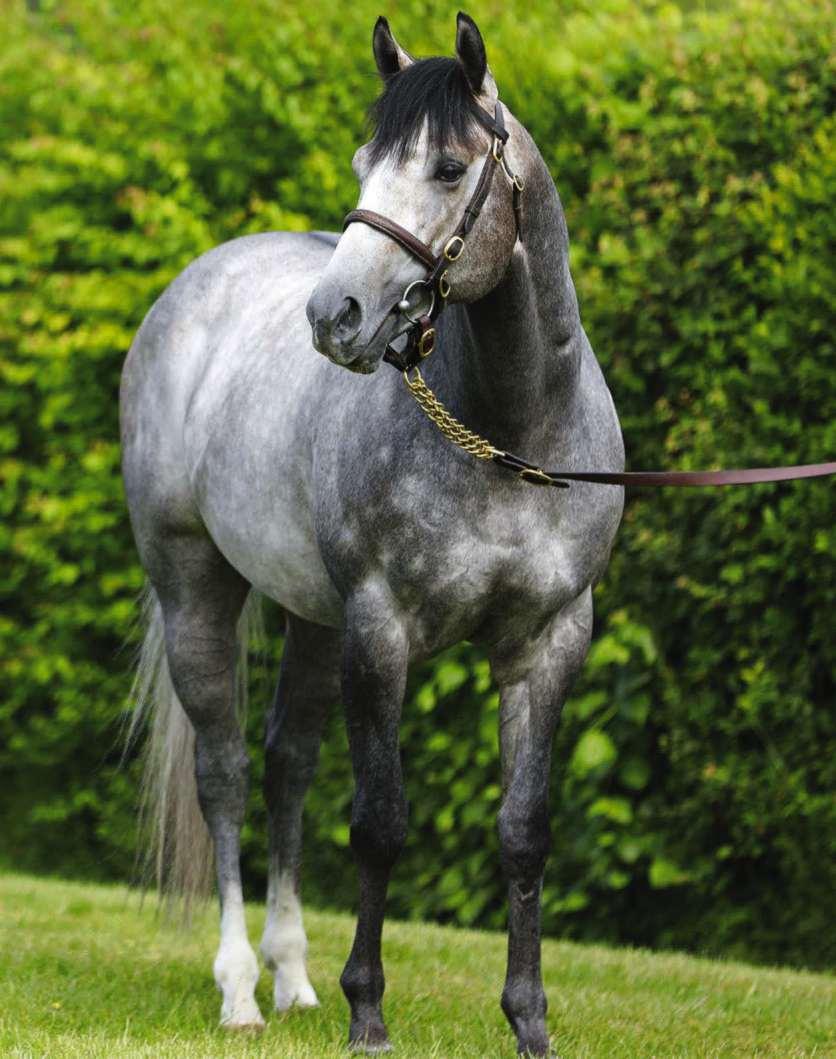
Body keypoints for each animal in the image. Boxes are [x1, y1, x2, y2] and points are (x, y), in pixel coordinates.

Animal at [120, 12, 624, 1056]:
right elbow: (380, 822)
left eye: (447, 166)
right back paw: (240, 990)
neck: (509, 437)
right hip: (197, 590)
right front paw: (369, 1012)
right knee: (227, 772)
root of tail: (196, 285)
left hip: (313, 622)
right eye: (364, 162)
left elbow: (525, 829)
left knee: (287, 766)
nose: (333, 316)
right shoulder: (381, 632)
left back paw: (293, 980)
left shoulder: (550, 641)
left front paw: (528, 1021)